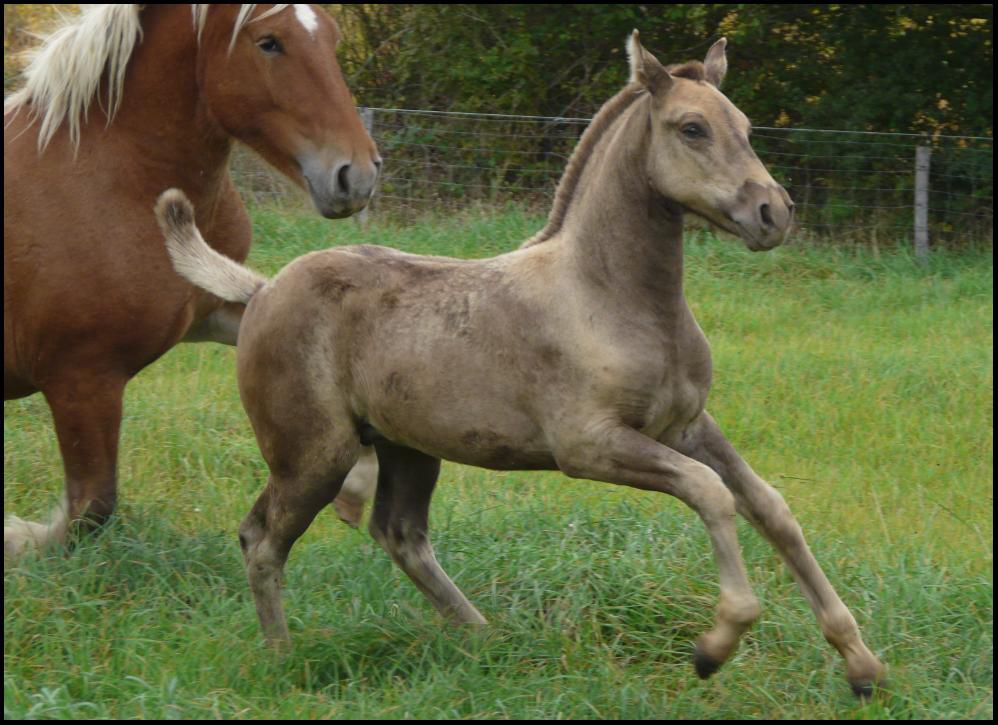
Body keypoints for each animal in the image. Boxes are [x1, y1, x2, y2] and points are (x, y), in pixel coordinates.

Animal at [3, 4, 382, 558]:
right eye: (269, 42)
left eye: (332, 37)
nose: (357, 176)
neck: (113, 175)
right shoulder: (81, 377)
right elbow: (88, 509)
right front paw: (16, 536)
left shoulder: (215, 309)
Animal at [155, 32, 887, 696]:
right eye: (692, 128)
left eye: (746, 127)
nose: (773, 212)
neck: (609, 295)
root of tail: (261, 289)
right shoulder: (588, 445)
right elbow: (710, 491)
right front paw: (716, 643)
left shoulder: (688, 426)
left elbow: (769, 506)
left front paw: (861, 663)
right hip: (313, 453)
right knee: (262, 539)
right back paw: (284, 660)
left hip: (406, 446)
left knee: (400, 533)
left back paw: (484, 638)